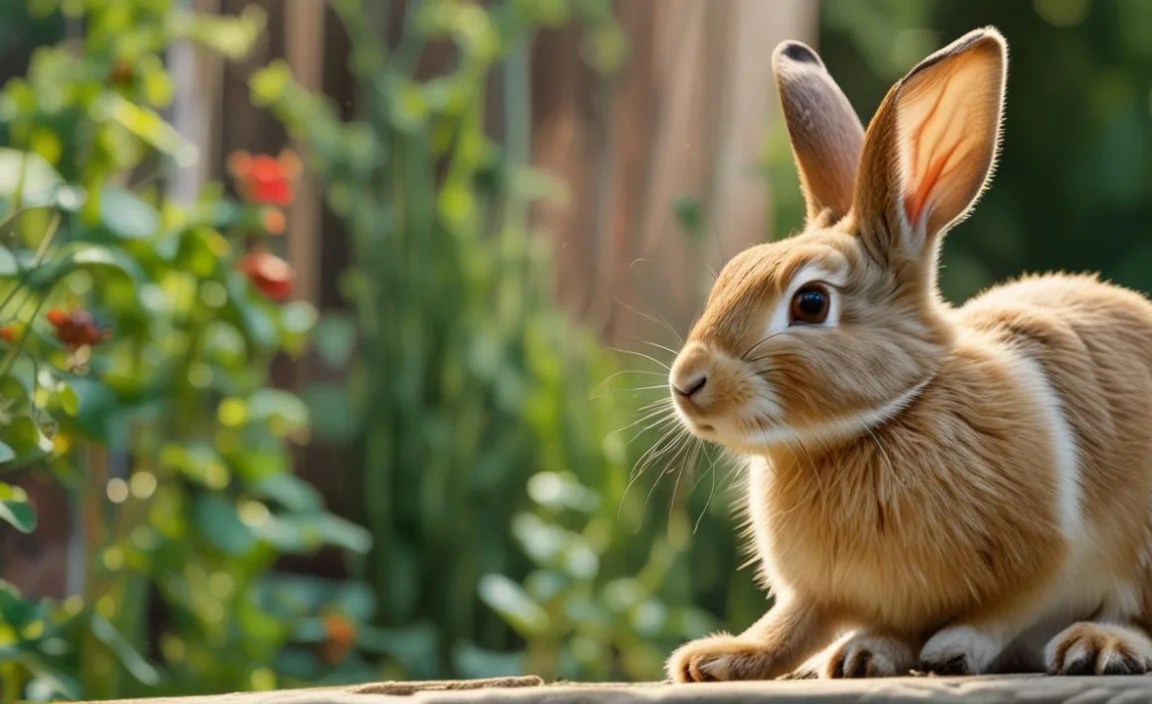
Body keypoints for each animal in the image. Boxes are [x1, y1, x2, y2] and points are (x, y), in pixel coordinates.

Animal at [664, 27, 1152, 681]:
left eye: (811, 303)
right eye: (729, 277)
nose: (687, 382)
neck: (881, 420)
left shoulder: (1049, 554)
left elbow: (1006, 609)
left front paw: (954, 647)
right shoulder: (822, 592)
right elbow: (792, 627)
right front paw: (721, 660)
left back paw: (1097, 645)